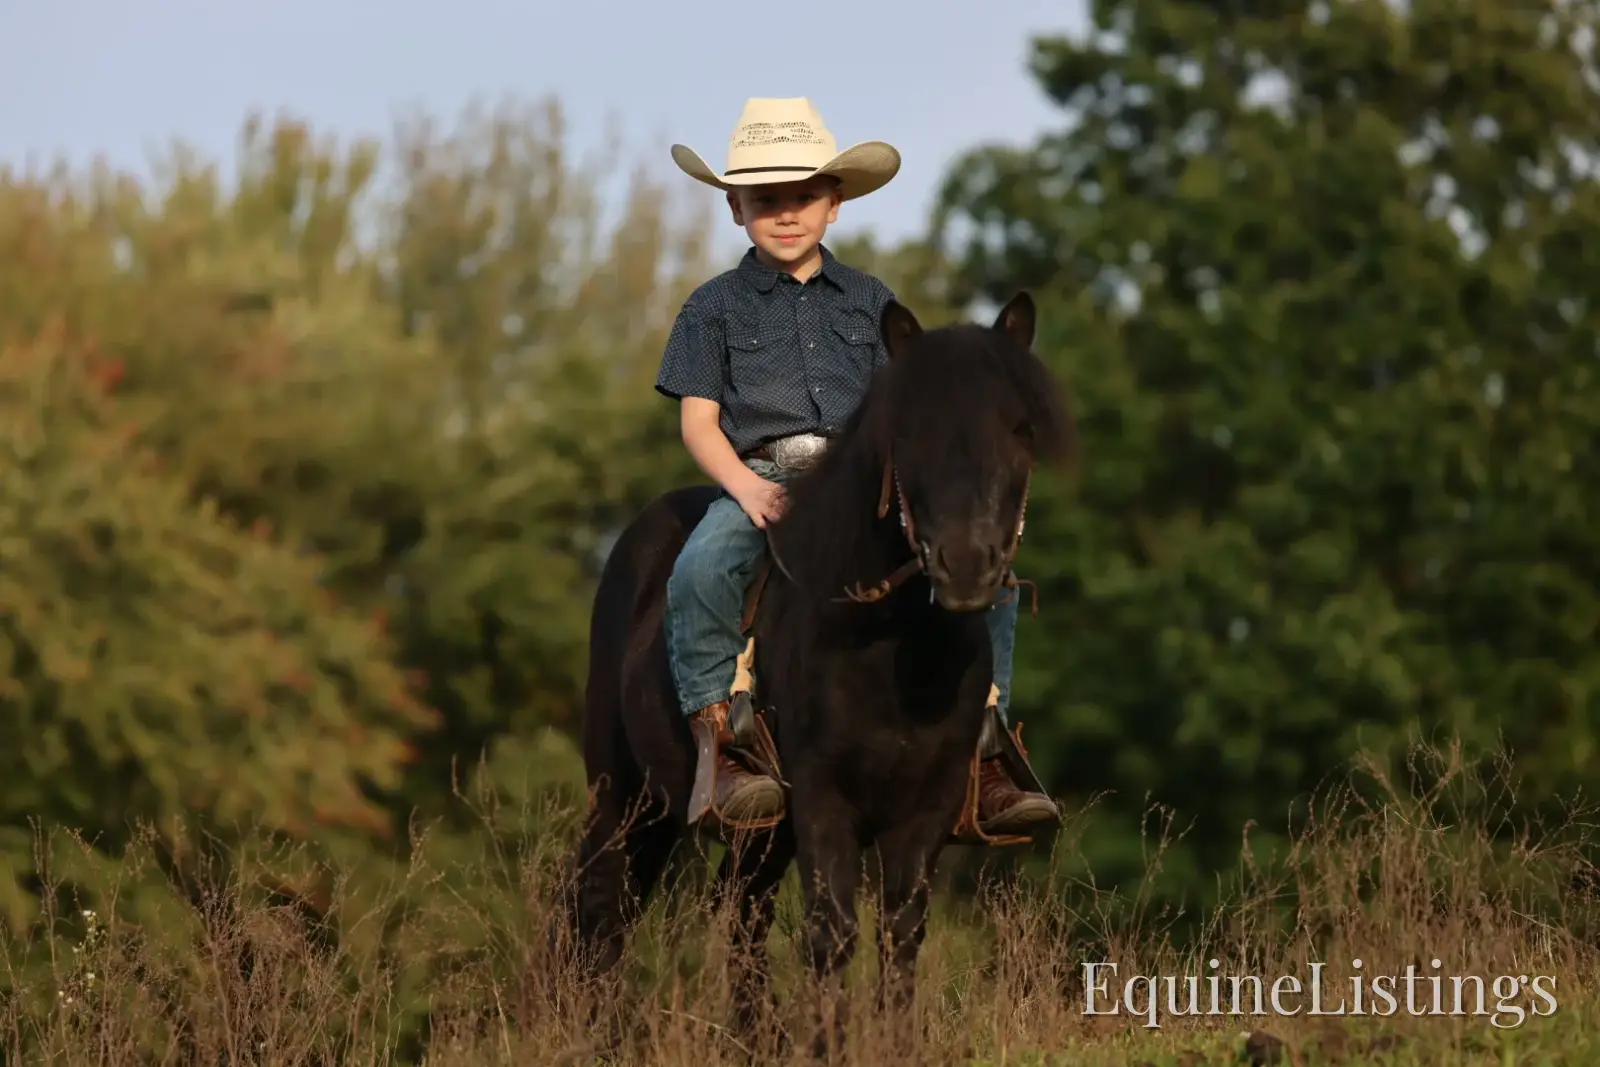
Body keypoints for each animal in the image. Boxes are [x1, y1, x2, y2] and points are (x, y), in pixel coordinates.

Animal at [566, 291, 1076, 1056]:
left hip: (750, 830)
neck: (897, 655)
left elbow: (900, 934)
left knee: (736, 916)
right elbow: (831, 934)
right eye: (907, 429)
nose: (965, 565)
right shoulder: (822, 799)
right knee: (603, 909)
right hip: (628, 795)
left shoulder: (923, 810)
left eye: (1020, 428)